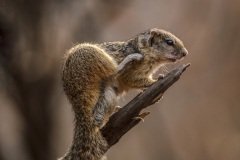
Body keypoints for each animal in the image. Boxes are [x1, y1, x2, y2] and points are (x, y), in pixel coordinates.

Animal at [59, 28, 188, 159]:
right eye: (169, 42)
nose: (185, 53)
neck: (142, 49)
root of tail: (77, 99)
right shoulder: (131, 73)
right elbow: (133, 80)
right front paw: (155, 80)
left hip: (108, 96)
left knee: (97, 119)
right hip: (92, 56)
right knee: (114, 71)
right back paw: (129, 59)